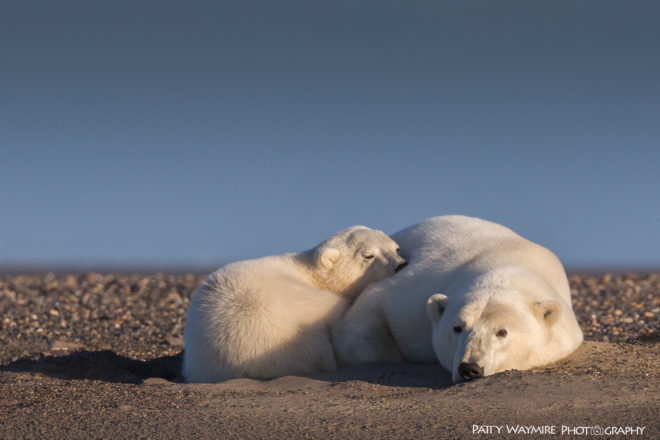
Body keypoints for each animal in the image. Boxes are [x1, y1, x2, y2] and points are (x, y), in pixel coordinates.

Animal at [333, 215, 583, 383]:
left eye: (502, 332)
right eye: (457, 328)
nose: (470, 369)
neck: (505, 265)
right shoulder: (412, 293)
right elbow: (372, 309)